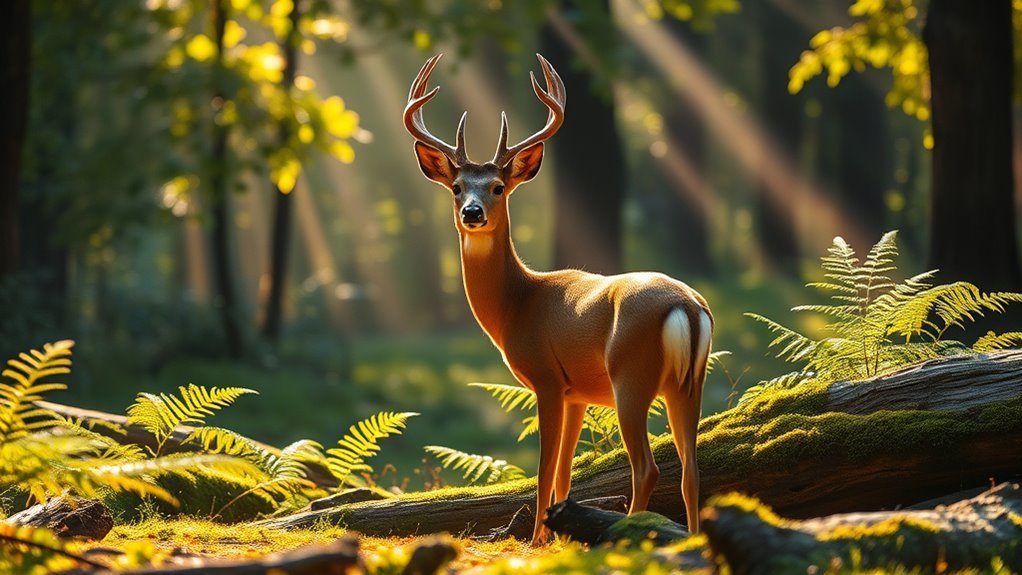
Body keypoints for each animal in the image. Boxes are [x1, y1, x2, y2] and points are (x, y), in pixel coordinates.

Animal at [404, 53, 713, 545]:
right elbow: (567, 470)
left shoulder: (547, 380)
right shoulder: (577, 393)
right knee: (692, 469)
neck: (517, 303)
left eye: (497, 187)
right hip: (689, 383)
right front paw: (559, 533)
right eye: (456, 187)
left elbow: (545, 469)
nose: (472, 213)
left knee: (646, 468)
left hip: (631, 377)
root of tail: (686, 306)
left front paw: (537, 540)